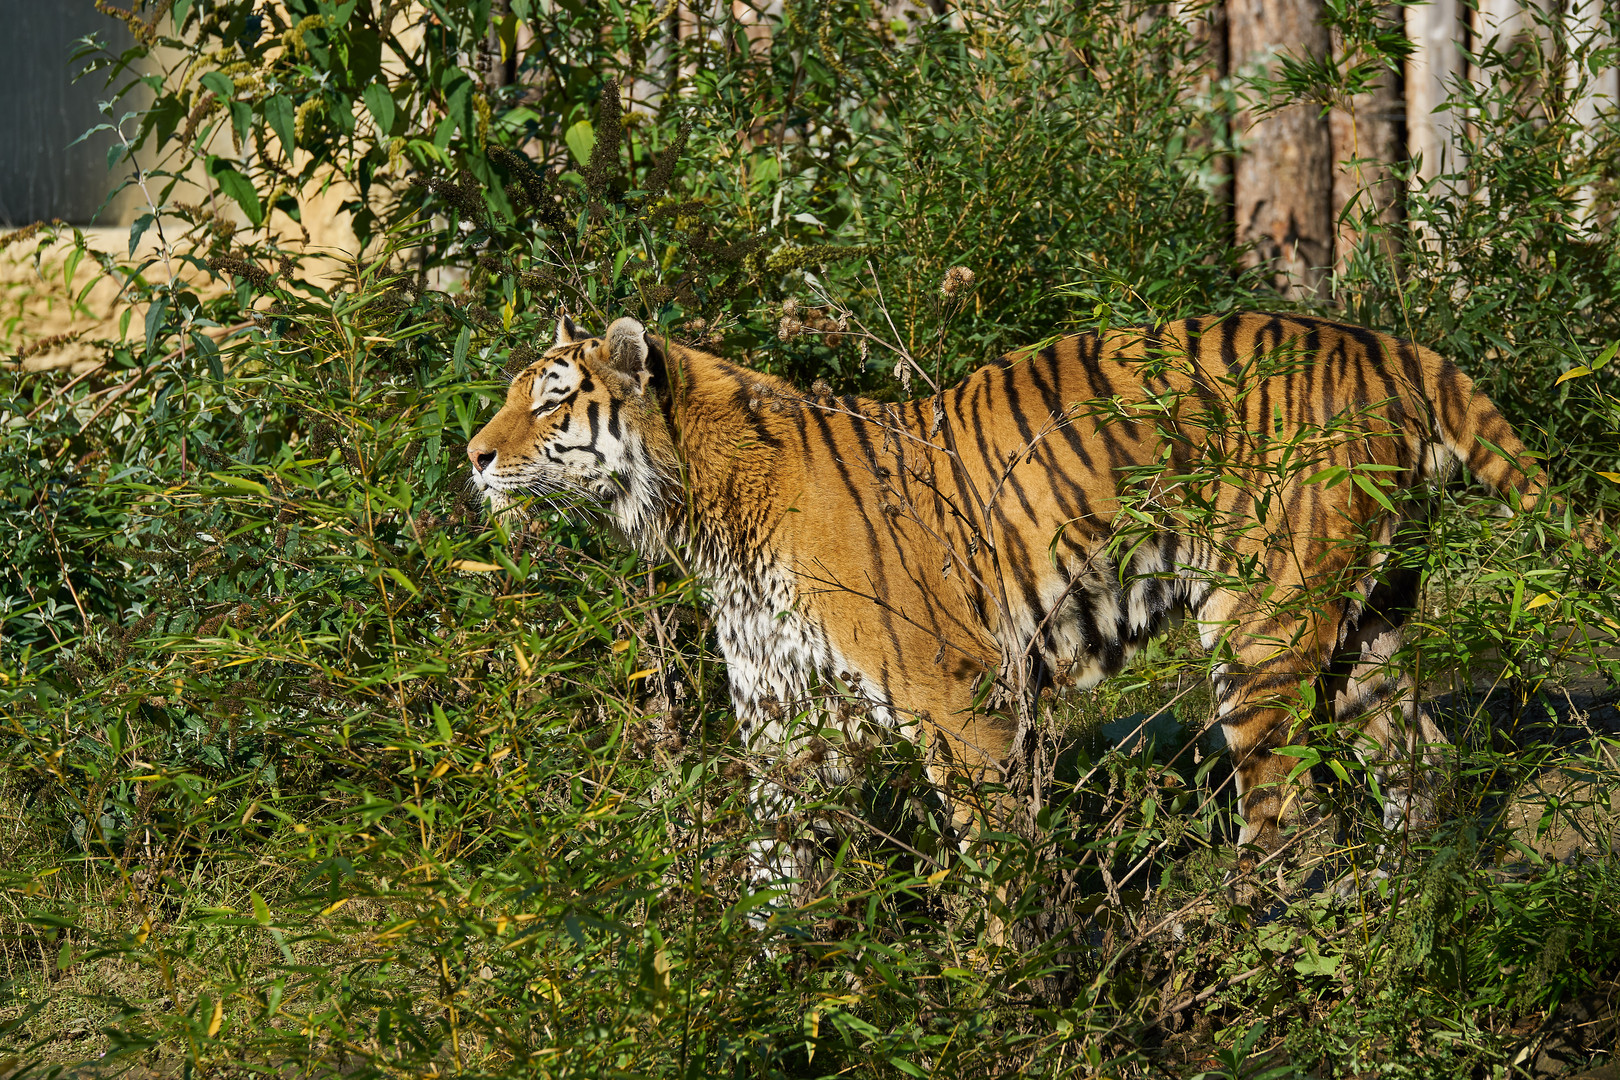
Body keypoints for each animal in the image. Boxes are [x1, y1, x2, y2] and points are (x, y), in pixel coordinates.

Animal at [466, 310, 1542, 906]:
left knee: (1282, 813)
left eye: (550, 401)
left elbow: (994, 862)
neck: (700, 516)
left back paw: (1238, 931)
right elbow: (773, 884)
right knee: (1423, 757)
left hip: (1261, 621)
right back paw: (1407, 900)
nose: (473, 456)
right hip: (1363, 623)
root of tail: (1387, 342)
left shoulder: (959, 699)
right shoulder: (784, 731)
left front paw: (1007, 980)